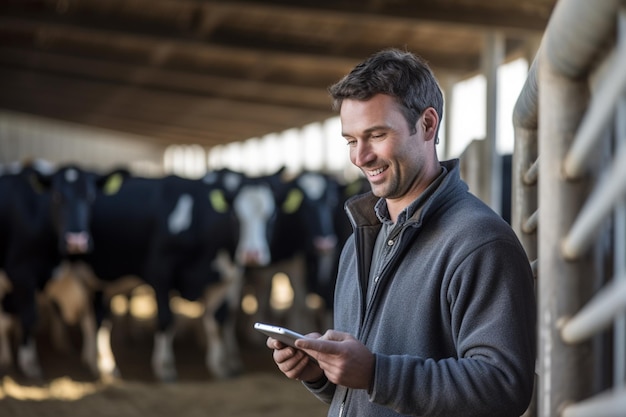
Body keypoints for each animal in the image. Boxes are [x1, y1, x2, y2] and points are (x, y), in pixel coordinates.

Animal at [0, 162, 121, 376]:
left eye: (90, 196)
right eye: (56, 195)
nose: (76, 241)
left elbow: (93, 320)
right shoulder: (20, 275)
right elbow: (28, 316)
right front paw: (29, 364)